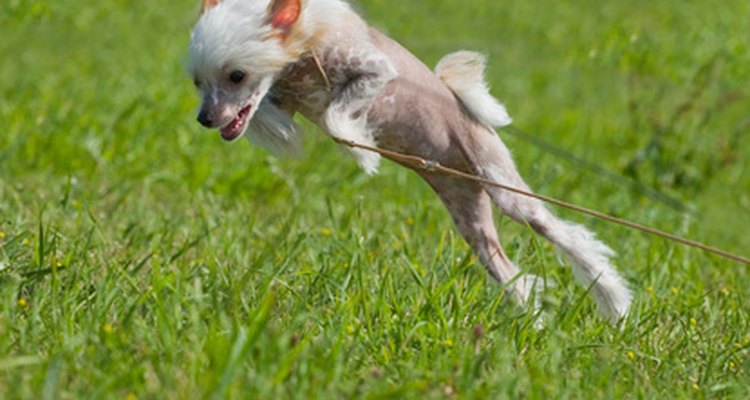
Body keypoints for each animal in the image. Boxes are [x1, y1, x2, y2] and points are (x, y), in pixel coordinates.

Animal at [188, 0, 636, 320]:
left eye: (236, 76)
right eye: (198, 82)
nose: (205, 119)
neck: (306, 45)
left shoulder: (372, 71)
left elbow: (337, 115)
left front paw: (360, 151)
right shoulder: (281, 95)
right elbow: (272, 112)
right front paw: (285, 131)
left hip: (504, 186)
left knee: (567, 235)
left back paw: (613, 300)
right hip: (468, 213)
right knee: (511, 274)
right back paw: (534, 324)